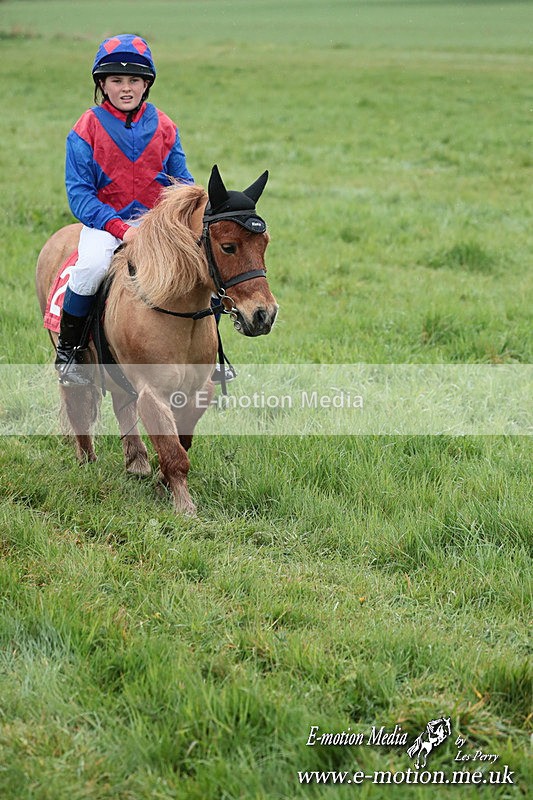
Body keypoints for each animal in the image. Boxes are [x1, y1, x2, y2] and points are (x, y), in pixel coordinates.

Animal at [35, 165, 278, 514]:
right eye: (228, 246)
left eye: (264, 243)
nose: (263, 315)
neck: (174, 311)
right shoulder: (153, 392)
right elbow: (174, 452)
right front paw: (184, 507)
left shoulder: (197, 390)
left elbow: (181, 441)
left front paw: (162, 483)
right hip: (70, 354)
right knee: (76, 399)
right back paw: (86, 457)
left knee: (121, 402)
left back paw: (136, 461)